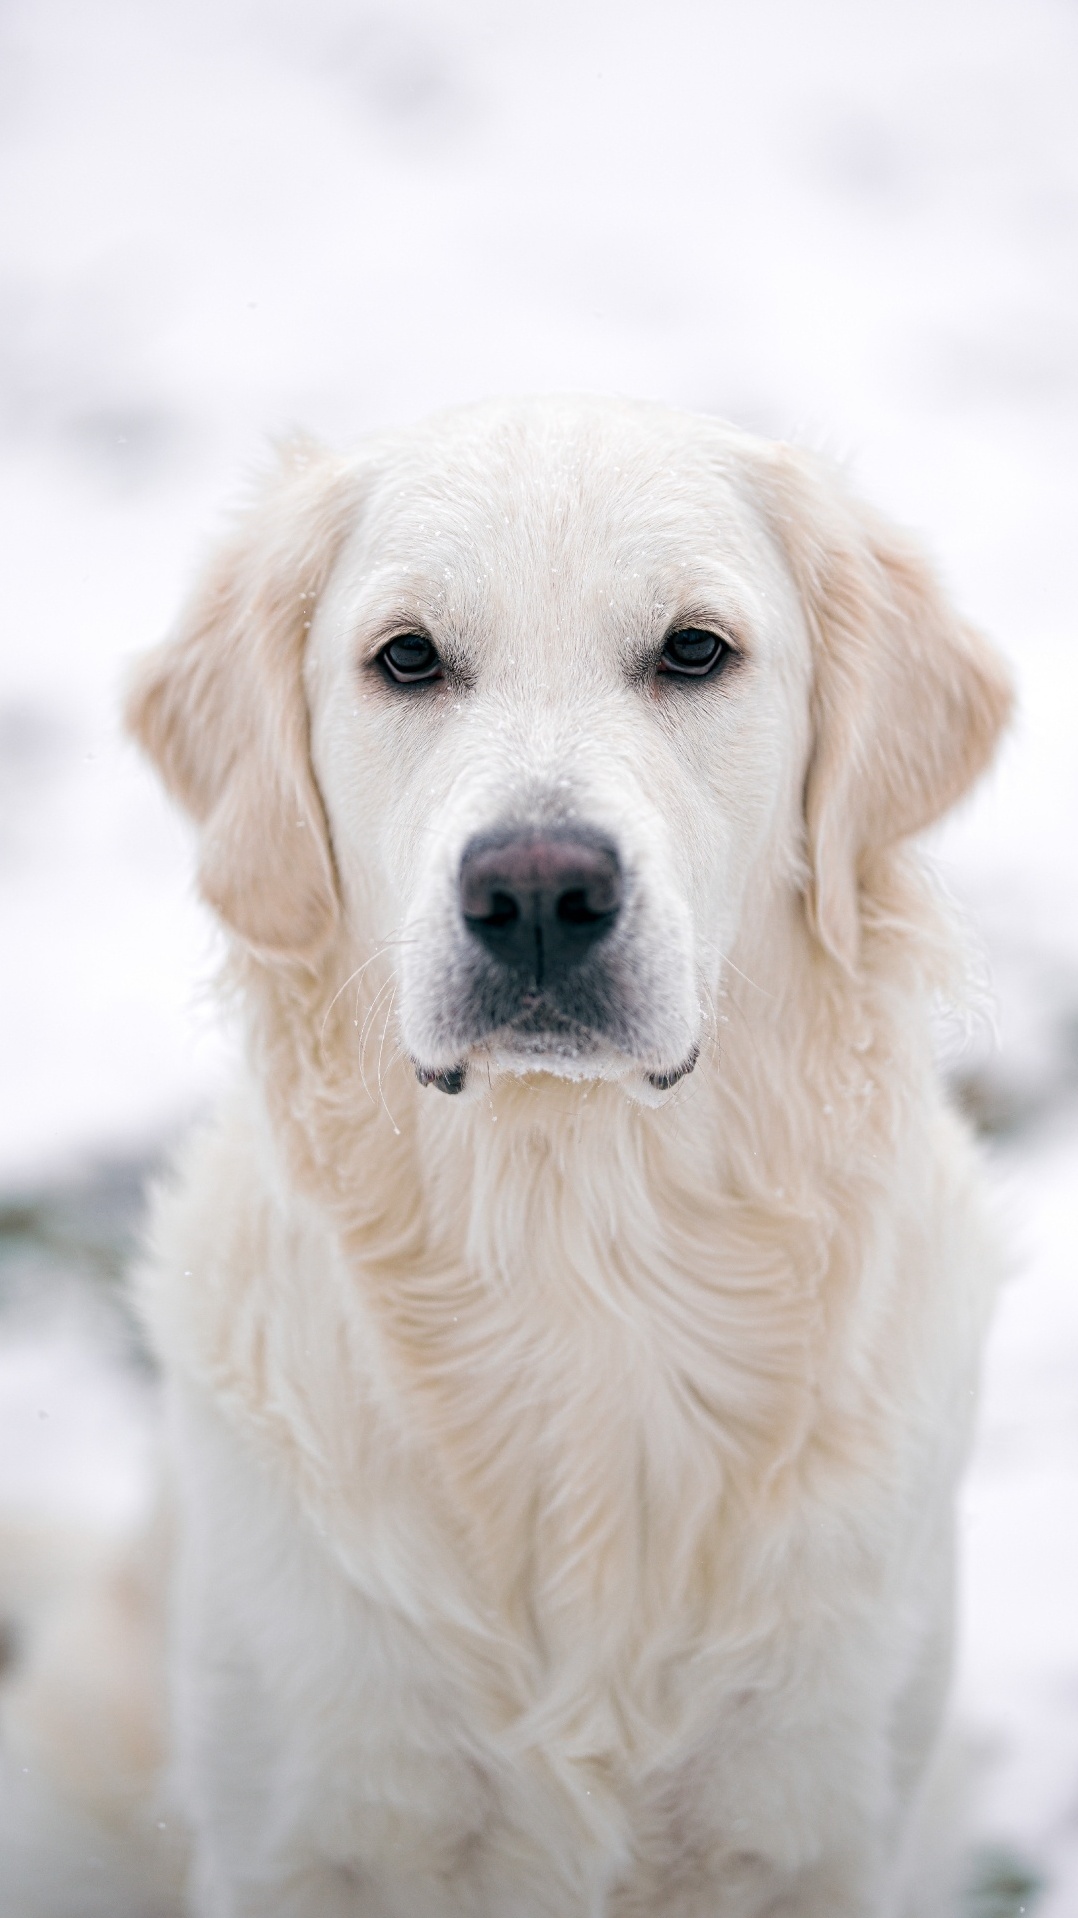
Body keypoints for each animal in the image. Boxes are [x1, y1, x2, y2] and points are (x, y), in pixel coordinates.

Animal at [4, 397, 1012, 1910]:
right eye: (407, 658)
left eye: (694, 650)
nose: (538, 890)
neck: (573, 1250)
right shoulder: (301, 1831)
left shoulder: (818, 1828)